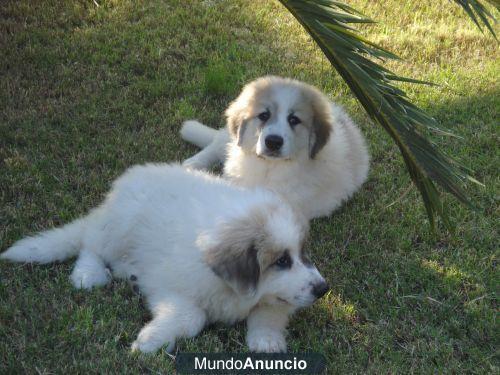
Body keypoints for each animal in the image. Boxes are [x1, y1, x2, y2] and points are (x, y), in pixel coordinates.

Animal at [1, 163, 328, 354]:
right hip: (119, 225)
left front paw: (266, 341)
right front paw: (150, 341)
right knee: (91, 244)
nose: (323, 289)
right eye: (281, 261)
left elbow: (271, 310)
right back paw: (88, 275)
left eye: (302, 254)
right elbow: (192, 317)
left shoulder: (275, 296)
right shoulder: (167, 283)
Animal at [182, 76, 370, 220]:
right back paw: (191, 164)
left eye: (294, 120)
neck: (269, 166)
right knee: (217, 143)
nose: (273, 142)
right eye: (264, 115)